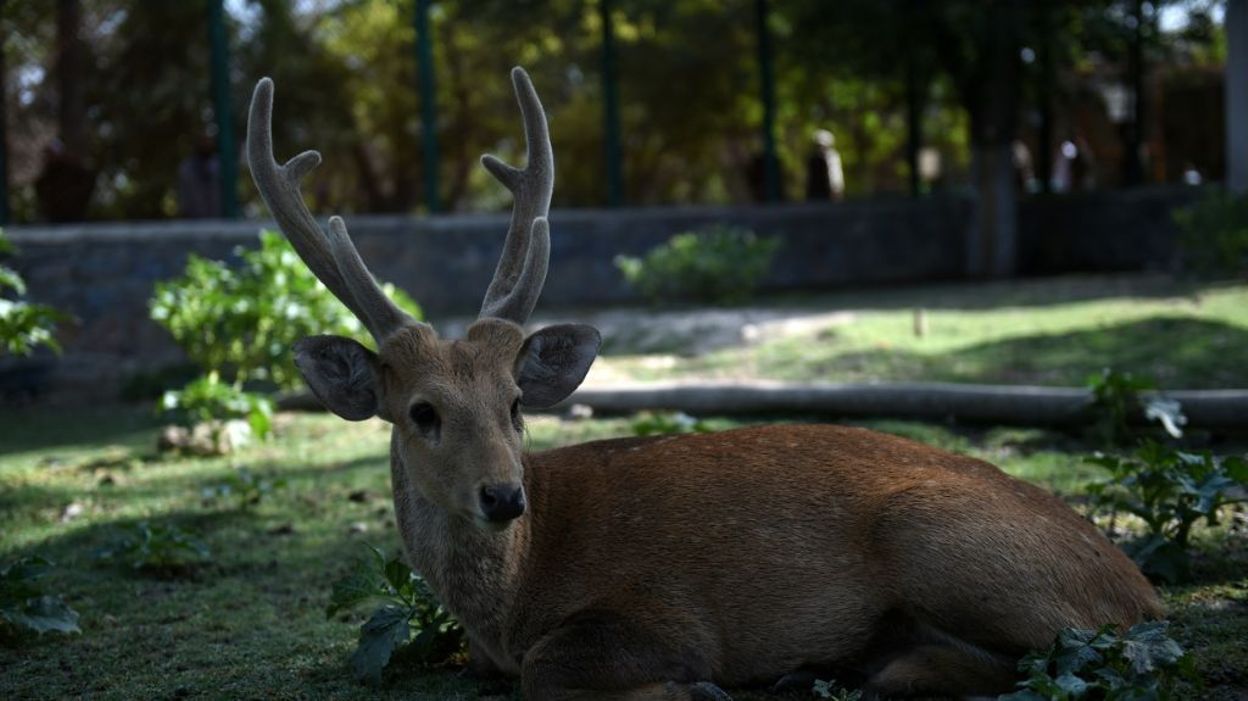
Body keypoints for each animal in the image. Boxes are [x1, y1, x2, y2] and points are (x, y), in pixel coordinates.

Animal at [243, 66, 1158, 698]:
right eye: (422, 410)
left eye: (515, 402)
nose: (504, 495)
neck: (513, 595)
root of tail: (1143, 588)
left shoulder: (662, 608)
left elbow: (551, 666)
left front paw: (696, 685)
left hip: (940, 538)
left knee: (1076, 653)